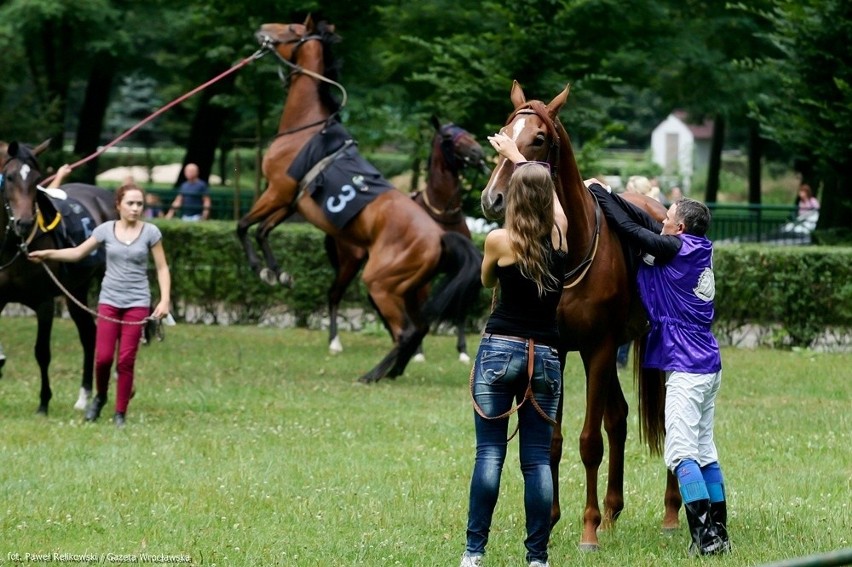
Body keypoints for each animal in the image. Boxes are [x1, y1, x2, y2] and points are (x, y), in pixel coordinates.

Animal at [0, 141, 115, 418]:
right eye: (9, 177)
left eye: (36, 179)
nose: (24, 222)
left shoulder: (44, 303)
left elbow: (42, 352)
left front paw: (43, 402)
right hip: (76, 290)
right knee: (88, 334)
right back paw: (84, 397)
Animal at [324, 117, 490, 362]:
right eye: (448, 136)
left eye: (467, 131)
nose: (477, 152)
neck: (442, 214)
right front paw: (419, 353)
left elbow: (459, 304)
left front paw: (462, 351)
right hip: (350, 261)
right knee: (335, 295)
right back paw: (335, 342)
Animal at [482, 81, 684, 552]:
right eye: (502, 131)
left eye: (538, 138)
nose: (493, 198)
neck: (571, 246)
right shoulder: (556, 351)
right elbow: (553, 441)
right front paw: (552, 518)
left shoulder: (599, 349)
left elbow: (589, 441)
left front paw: (587, 529)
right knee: (619, 419)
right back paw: (612, 512)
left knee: (662, 420)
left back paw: (668, 513)